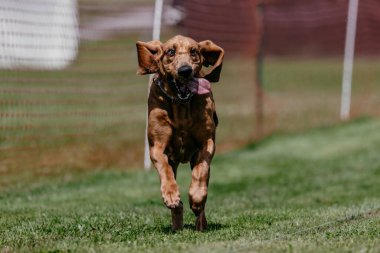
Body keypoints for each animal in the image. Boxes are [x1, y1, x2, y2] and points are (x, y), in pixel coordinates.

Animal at [137, 35, 224, 231]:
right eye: (170, 52)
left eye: (194, 51)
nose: (185, 71)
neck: (181, 104)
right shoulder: (157, 148)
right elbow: (165, 170)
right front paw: (171, 195)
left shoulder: (206, 143)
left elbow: (201, 172)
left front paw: (197, 198)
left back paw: (200, 222)